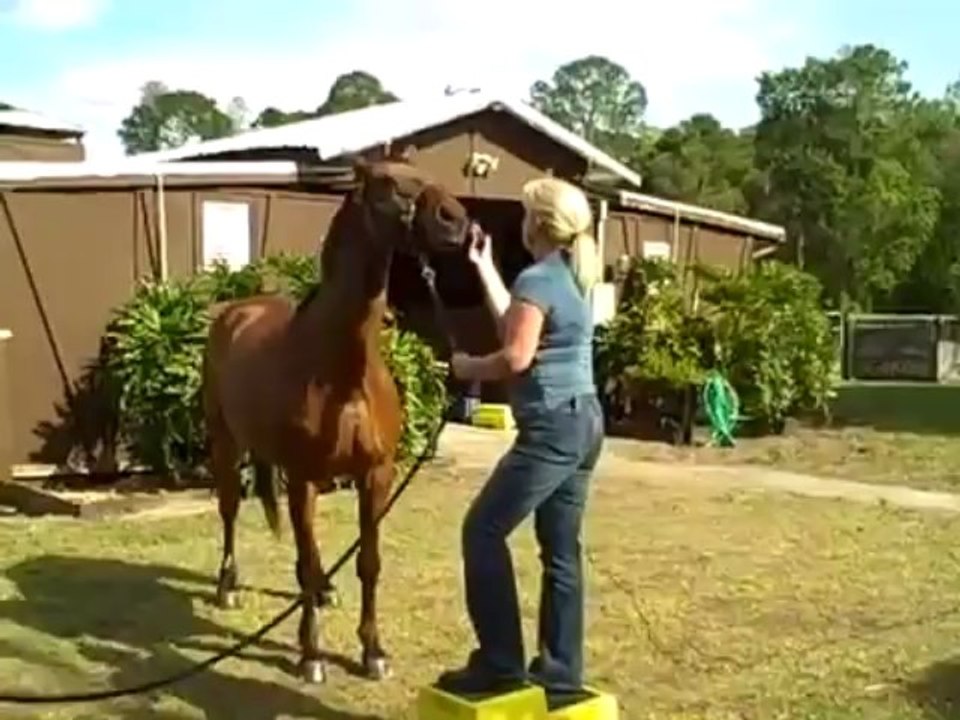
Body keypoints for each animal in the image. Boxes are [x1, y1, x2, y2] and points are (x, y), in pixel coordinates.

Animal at [201, 148, 469, 684]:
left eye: (424, 173)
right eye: (387, 183)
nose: (456, 220)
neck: (339, 373)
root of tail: (235, 312)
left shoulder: (375, 476)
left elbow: (368, 562)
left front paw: (373, 651)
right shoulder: (303, 476)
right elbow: (304, 562)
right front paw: (311, 657)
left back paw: (326, 589)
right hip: (227, 446)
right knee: (231, 511)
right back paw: (228, 586)